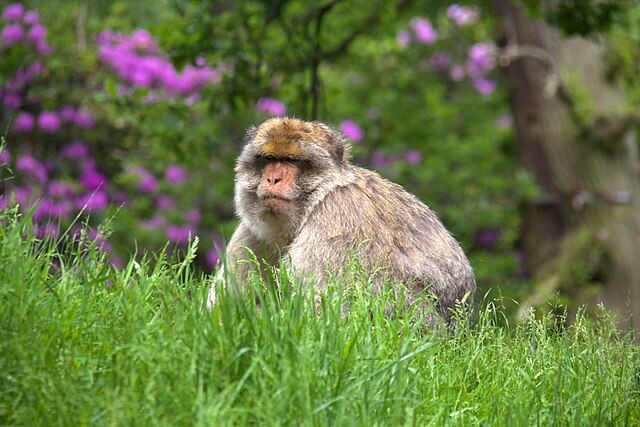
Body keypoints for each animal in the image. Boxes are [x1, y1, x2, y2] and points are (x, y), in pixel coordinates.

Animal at [207, 117, 476, 325]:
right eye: (268, 159)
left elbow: (322, 315)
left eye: (293, 161)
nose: (273, 178)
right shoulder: (252, 232)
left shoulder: (339, 214)